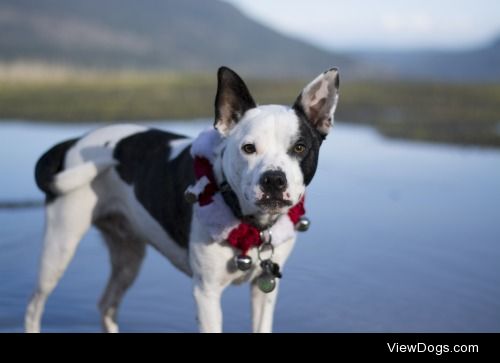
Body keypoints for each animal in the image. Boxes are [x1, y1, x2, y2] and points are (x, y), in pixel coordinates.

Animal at [24, 66, 340, 332]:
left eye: (300, 148)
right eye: (248, 148)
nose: (274, 179)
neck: (252, 223)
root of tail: (75, 140)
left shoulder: (265, 291)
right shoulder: (206, 293)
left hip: (128, 256)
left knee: (106, 305)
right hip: (59, 246)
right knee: (34, 306)